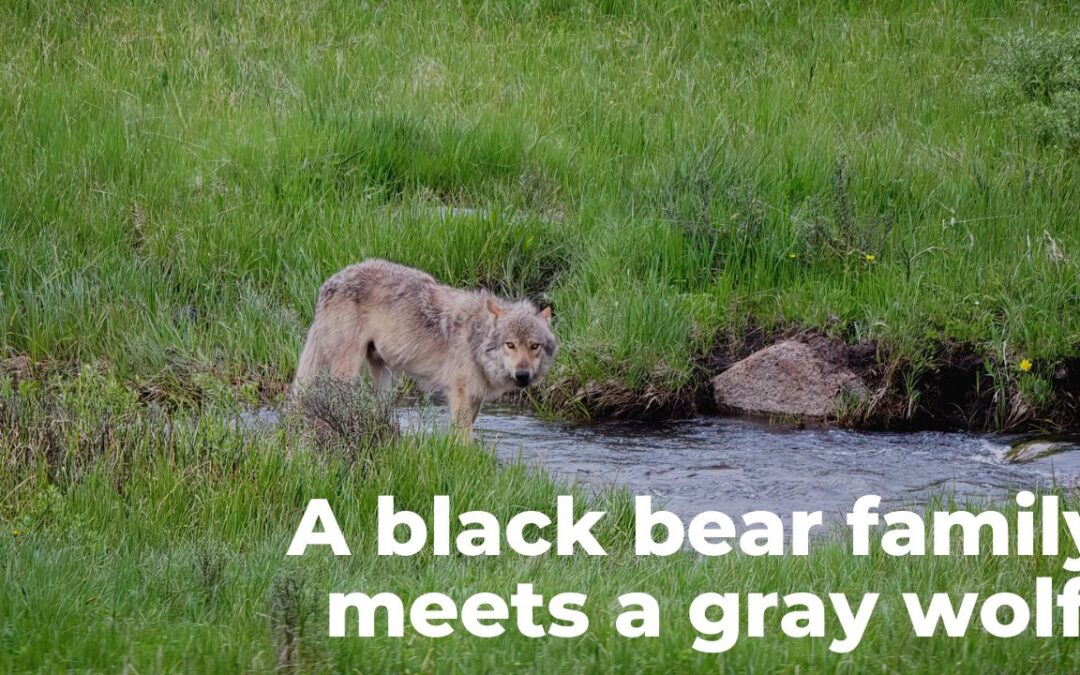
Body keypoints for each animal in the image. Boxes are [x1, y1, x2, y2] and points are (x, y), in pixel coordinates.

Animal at [291, 258, 561, 436]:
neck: (475, 338)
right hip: (347, 371)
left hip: (384, 376)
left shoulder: (475, 398)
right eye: (510, 345)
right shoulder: (460, 395)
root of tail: (330, 282)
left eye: (534, 346)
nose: (522, 375)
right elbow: (464, 438)